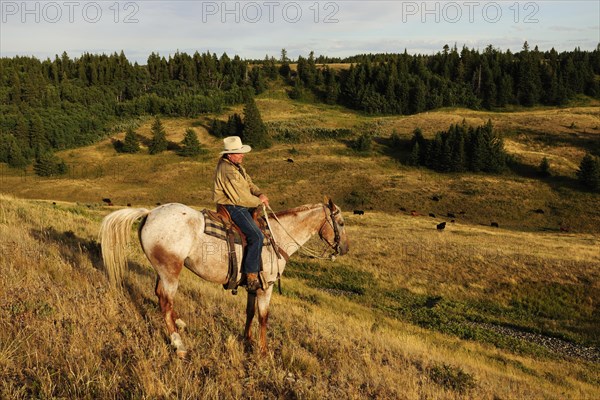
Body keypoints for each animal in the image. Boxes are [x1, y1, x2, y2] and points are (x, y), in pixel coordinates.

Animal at [100, 197, 350, 356]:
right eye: (341, 222)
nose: (345, 248)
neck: (276, 236)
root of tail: (150, 213)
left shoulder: (253, 285)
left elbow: (250, 313)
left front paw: (248, 340)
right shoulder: (266, 287)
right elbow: (264, 317)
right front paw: (263, 351)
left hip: (163, 269)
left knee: (160, 296)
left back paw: (179, 324)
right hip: (171, 271)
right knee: (165, 301)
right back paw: (178, 344)